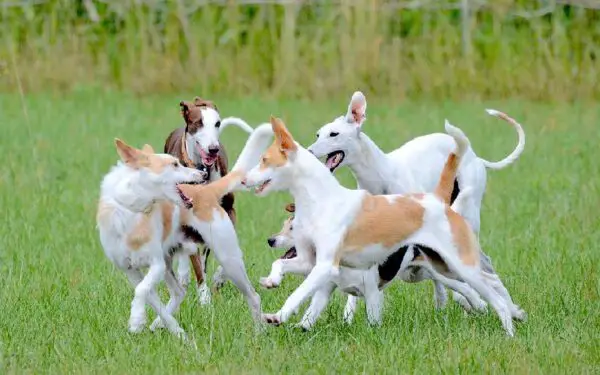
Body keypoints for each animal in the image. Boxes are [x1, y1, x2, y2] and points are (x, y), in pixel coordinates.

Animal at [163, 97, 254, 306]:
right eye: (198, 123)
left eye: (217, 123)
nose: (214, 149)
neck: (202, 169)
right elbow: (197, 265)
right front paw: (204, 299)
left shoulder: (228, 211)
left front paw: (220, 278)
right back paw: (183, 275)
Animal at [241, 116, 524, 336]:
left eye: (264, 159)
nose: (242, 180)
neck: (322, 198)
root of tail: (437, 200)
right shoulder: (308, 260)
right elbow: (281, 265)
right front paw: (272, 281)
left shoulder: (324, 266)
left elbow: (298, 294)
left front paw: (279, 316)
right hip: (445, 265)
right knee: (490, 280)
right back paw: (516, 312)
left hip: (459, 264)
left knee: (492, 293)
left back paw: (508, 329)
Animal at [304, 93, 524, 312]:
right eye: (317, 134)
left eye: (334, 134)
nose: (309, 152)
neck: (380, 174)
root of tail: (476, 158)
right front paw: (348, 312)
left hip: (466, 218)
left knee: (481, 262)